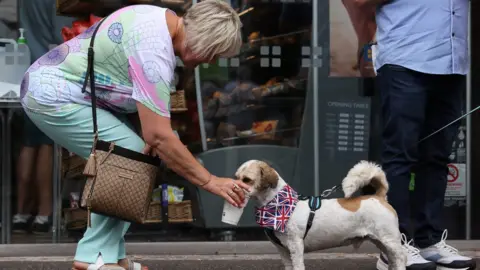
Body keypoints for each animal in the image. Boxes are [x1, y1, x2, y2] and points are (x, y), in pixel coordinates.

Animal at [235, 160, 404, 270]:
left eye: (247, 180)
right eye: (236, 177)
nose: (234, 187)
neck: (278, 205)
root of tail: (379, 197)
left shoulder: (296, 246)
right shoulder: (283, 250)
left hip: (390, 240)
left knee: (401, 258)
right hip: (381, 241)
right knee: (392, 260)